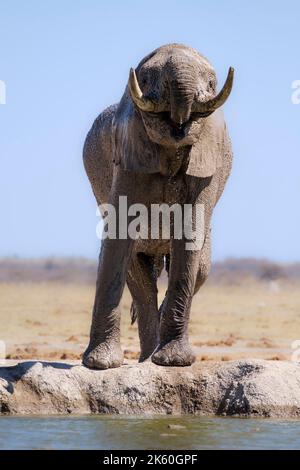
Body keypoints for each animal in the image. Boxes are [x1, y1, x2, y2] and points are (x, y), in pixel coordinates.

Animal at [82, 42, 234, 370]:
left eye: (212, 83)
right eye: (146, 79)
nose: (179, 123)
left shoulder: (206, 164)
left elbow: (190, 233)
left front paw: (174, 363)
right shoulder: (127, 151)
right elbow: (118, 231)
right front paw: (100, 365)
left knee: (201, 267)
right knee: (138, 276)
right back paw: (144, 360)